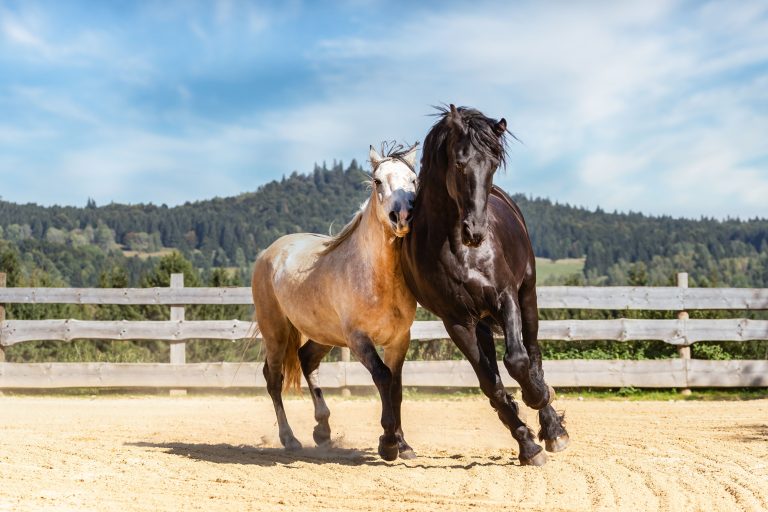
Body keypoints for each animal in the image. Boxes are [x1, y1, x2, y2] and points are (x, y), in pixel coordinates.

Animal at [251, 142, 419, 461]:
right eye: (377, 181)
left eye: (414, 180)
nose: (402, 216)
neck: (376, 276)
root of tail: (268, 252)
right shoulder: (358, 339)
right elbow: (383, 377)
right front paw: (388, 443)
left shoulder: (399, 340)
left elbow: (397, 386)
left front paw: (404, 445)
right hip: (276, 332)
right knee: (274, 379)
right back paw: (289, 438)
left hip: (324, 334)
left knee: (306, 359)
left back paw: (323, 430)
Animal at [400, 105, 569, 466]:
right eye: (459, 162)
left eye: (492, 164)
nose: (475, 231)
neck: (457, 250)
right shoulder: (458, 321)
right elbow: (491, 384)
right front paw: (527, 445)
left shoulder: (506, 298)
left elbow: (518, 361)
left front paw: (538, 399)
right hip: (480, 322)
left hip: (528, 295)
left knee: (533, 355)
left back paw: (553, 429)